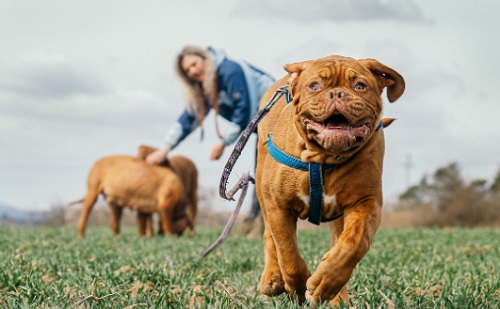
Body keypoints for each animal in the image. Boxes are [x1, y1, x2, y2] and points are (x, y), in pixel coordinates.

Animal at [256, 54, 404, 304]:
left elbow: (354, 243)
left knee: (338, 240)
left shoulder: (366, 202)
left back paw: (337, 296)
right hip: (261, 188)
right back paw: (272, 278)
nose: (336, 94)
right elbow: (288, 253)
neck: (323, 158)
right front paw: (297, 289)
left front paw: (325, 283)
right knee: (269, 237)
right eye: (314, 86)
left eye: (360, 86)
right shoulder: (279, 206)